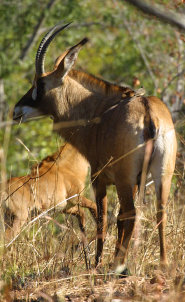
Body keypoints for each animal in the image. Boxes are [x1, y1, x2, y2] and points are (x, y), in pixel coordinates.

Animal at [12, 23, 177, 274]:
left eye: (39, 84)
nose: (16, 111)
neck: (97, 109)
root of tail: (148, 112)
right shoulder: (134, 181)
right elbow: (116, 219)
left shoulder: (99, 178)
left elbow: (103, 219)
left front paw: (98, 263)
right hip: (162, 175)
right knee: (160, 211)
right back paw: (163, 264)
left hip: (124, 178)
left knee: (130, 213)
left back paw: (118, 265)